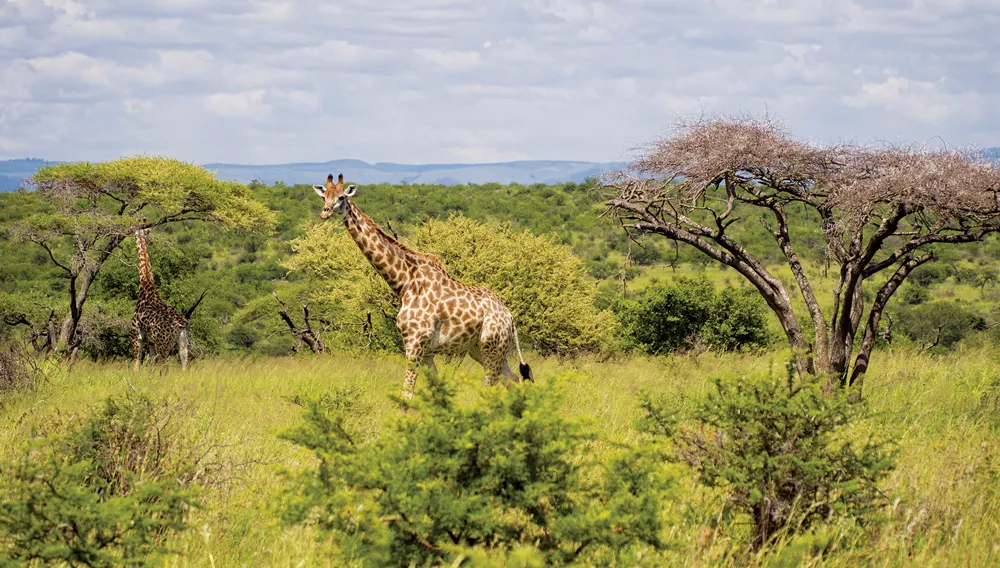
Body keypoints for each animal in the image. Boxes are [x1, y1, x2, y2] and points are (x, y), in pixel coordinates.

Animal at [131, 229, 201, 370]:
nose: (151, 241)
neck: (145, 284)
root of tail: (181, 325)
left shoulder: (137, 336)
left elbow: (136, 365)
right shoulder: (151, 342)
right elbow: (151, 366)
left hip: (163, 345)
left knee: (165, 367)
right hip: (183, 343)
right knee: (184, 366)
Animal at [312, 171, 532, 398]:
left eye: (341, 197)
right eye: (324, 196)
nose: (325, 212)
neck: (404, 282)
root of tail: (509, 316)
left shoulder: (415, 343)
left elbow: (407, 393)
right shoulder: (425, 351)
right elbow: (433, 389)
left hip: (491, 346)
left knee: (492, 384)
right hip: (480, 349)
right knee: (513, 379)